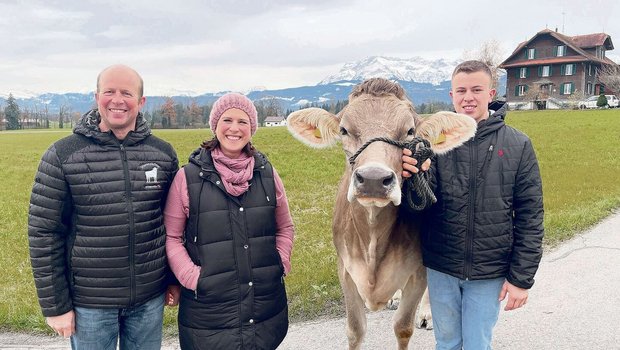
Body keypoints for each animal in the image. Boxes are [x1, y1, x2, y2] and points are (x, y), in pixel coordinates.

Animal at [288, 78, 478, 348]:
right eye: (344, 130)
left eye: (410, 131)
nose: (373, 179)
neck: (373, 241)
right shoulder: (346, 270)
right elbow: (355, 330)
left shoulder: (418, 272)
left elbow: (403, 327)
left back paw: (427, 315)